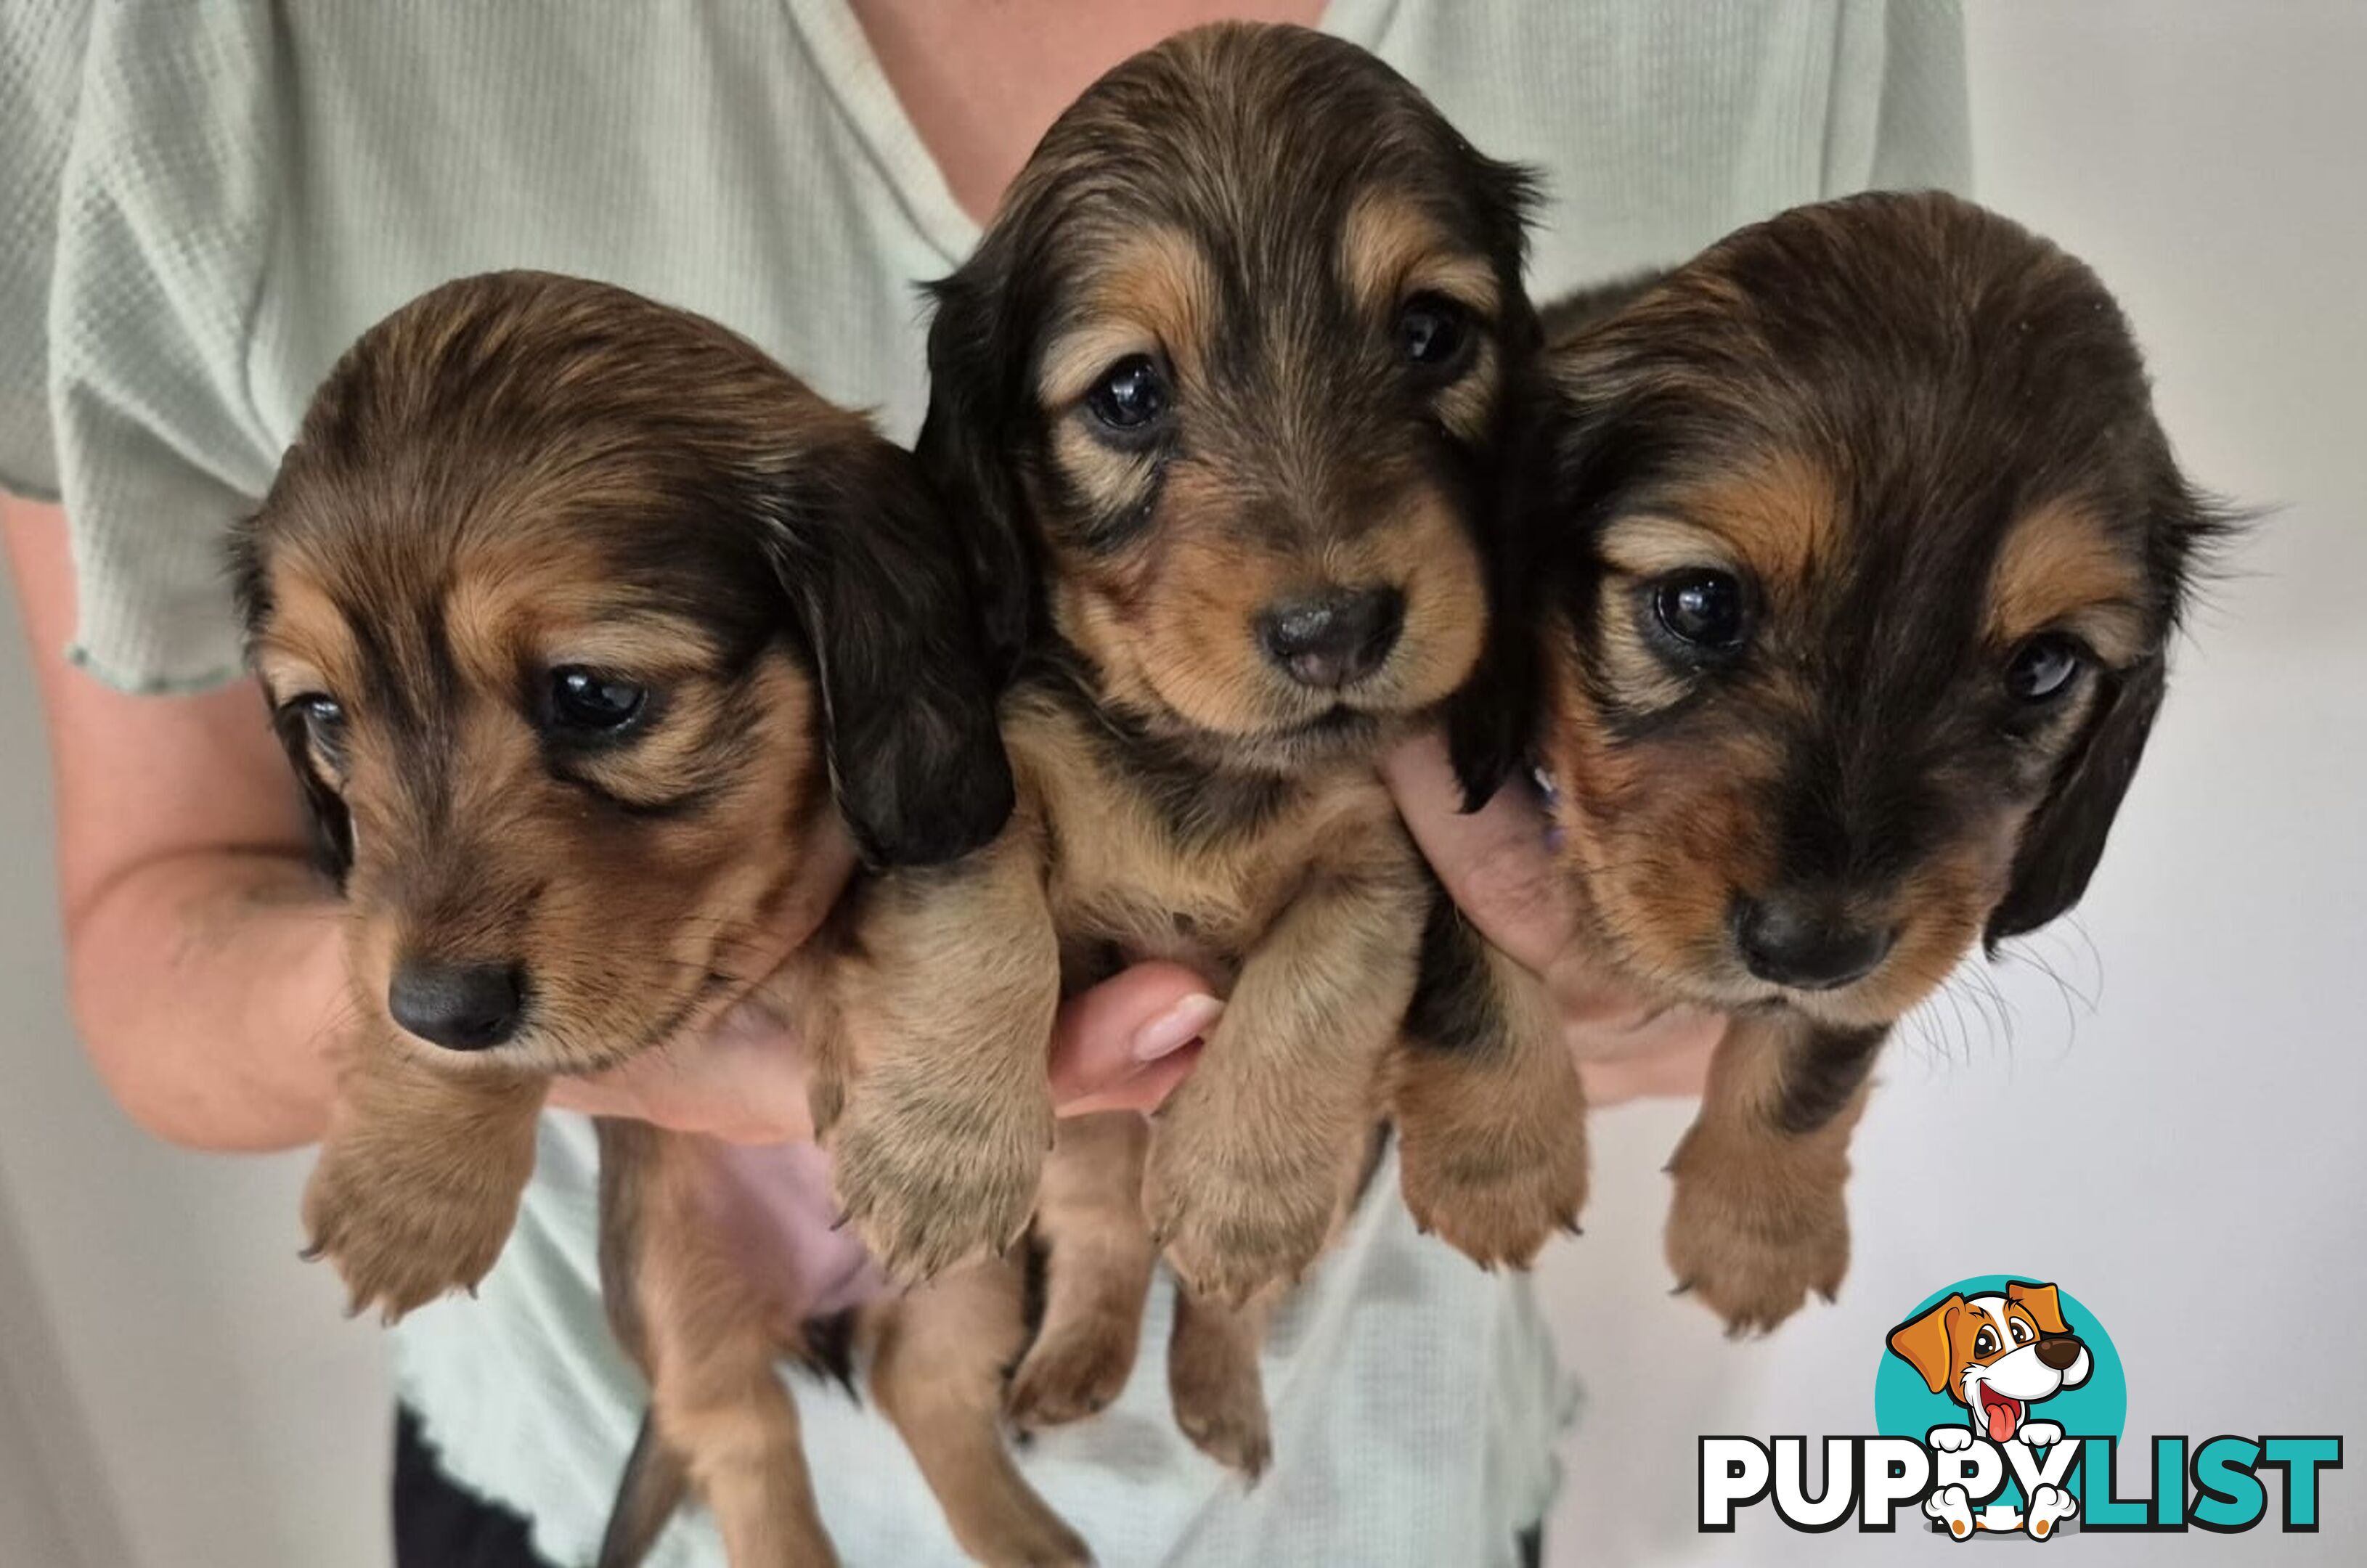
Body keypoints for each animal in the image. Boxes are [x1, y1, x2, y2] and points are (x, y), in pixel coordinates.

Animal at [230, 269, 1084, 1568]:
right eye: (324, 715)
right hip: (680, 1300)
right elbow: (384, 951)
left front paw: (926, 1117)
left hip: (964, 1288)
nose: (446, 1012)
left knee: (927, 1394)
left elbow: (939, 901)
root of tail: (816, 1296)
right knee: (747, 1451)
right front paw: (409, 1187)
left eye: (595, 694)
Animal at [804, 18, 1581, 1475]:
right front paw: (937, 1152)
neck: (1204, 758)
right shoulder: (988, 782)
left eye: (1431, 333)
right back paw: (1071, 1367)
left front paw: (1241, 1184)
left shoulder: (1382, 854)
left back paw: (1217, 1386)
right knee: (1109, 1239)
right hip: (1092, 1143)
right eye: (1127, 391)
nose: (1336, 631)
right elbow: (983, 924)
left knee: (1221, 1298)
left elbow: (1319, 985)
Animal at [1477, 190, 2234, 1334]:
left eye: (2044, 668)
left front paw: (1756, 1230)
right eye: (1700, 603)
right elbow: (1465, 955)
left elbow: (1818, 1057)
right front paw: (1495, 1161)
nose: (1808, 950)